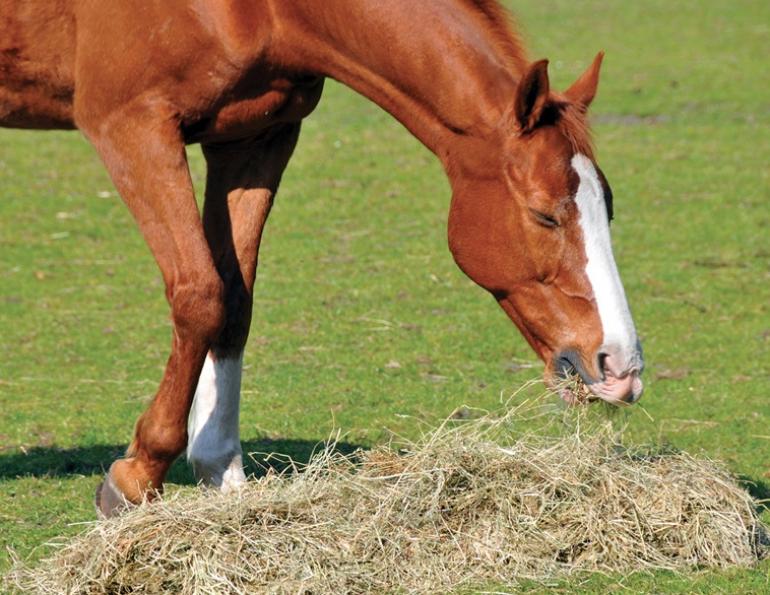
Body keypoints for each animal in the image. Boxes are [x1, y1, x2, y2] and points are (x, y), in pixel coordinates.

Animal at [0, 0, 644, 517]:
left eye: (608, 206)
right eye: (544, 215)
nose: (621, 366)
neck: (265, 11)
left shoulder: (254, 138)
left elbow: (234, 301)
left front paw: (220, 469)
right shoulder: (132, 125)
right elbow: (200, 294)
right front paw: (138, 475)